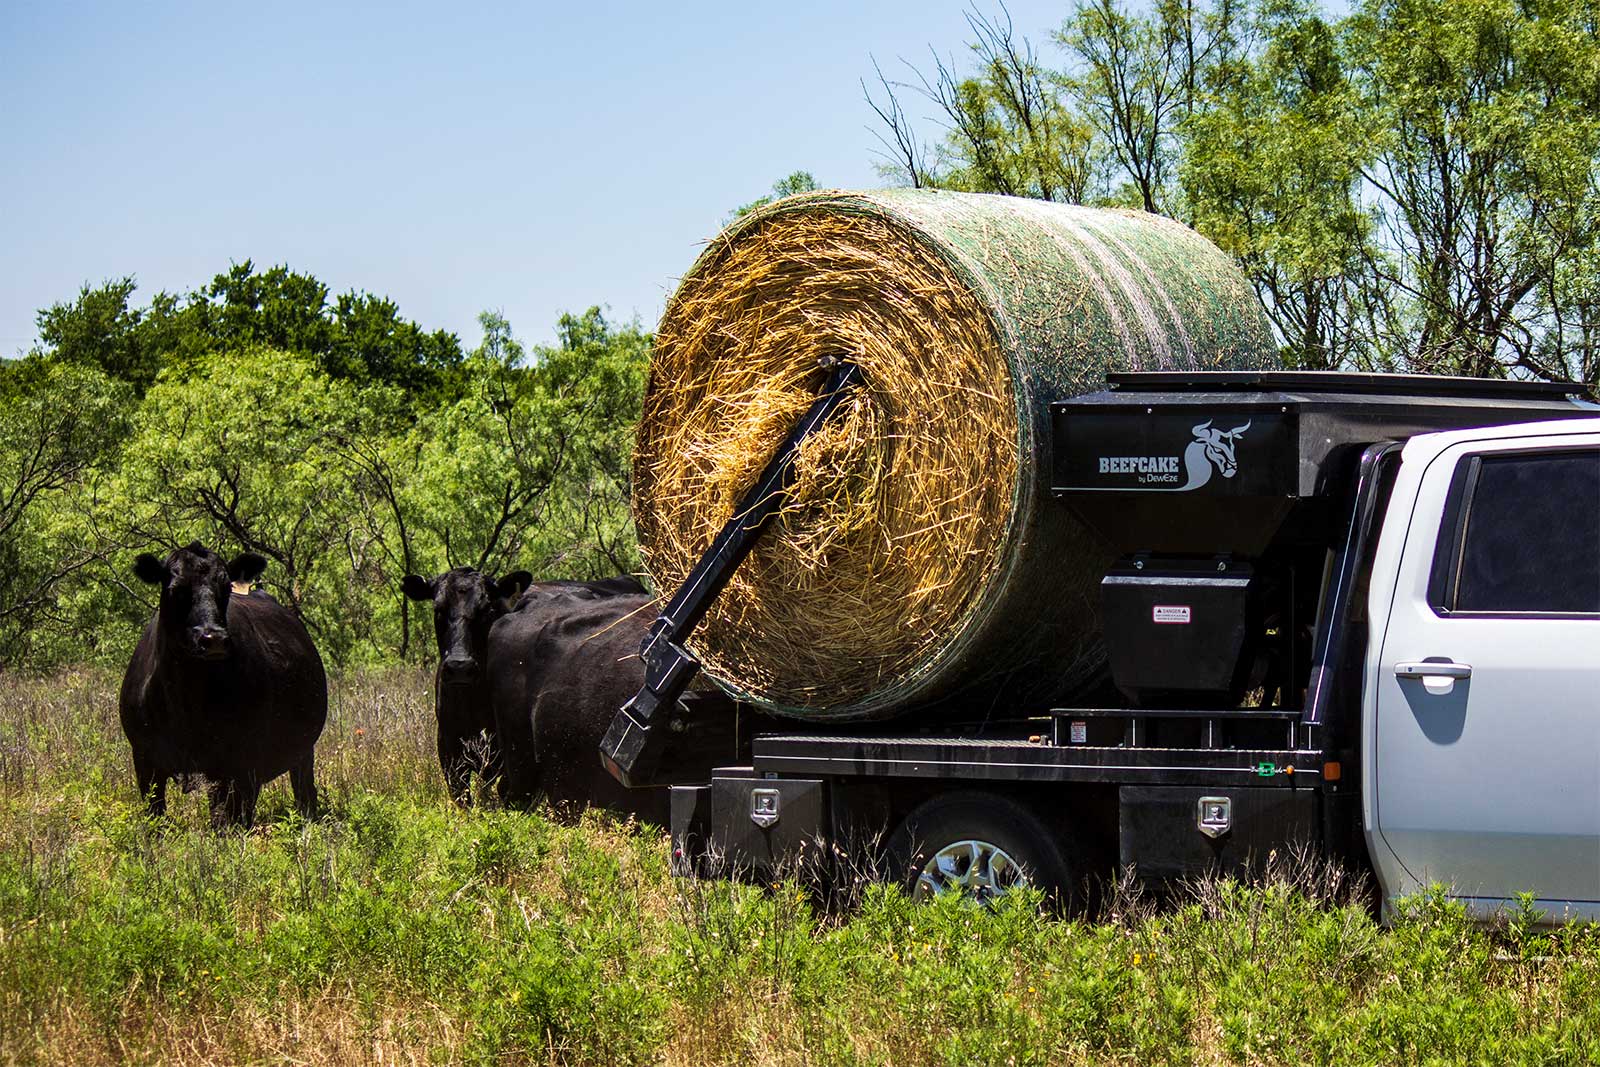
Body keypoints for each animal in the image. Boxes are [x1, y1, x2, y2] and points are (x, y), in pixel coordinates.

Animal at [119, 542, 326, 827]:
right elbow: (155, 817)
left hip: (300, 751)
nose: (214, 638)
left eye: (226, 587)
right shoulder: (145, 759)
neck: (185, 702)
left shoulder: (235, 764)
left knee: (302, 793)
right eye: (175, 588)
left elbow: (225, 822)